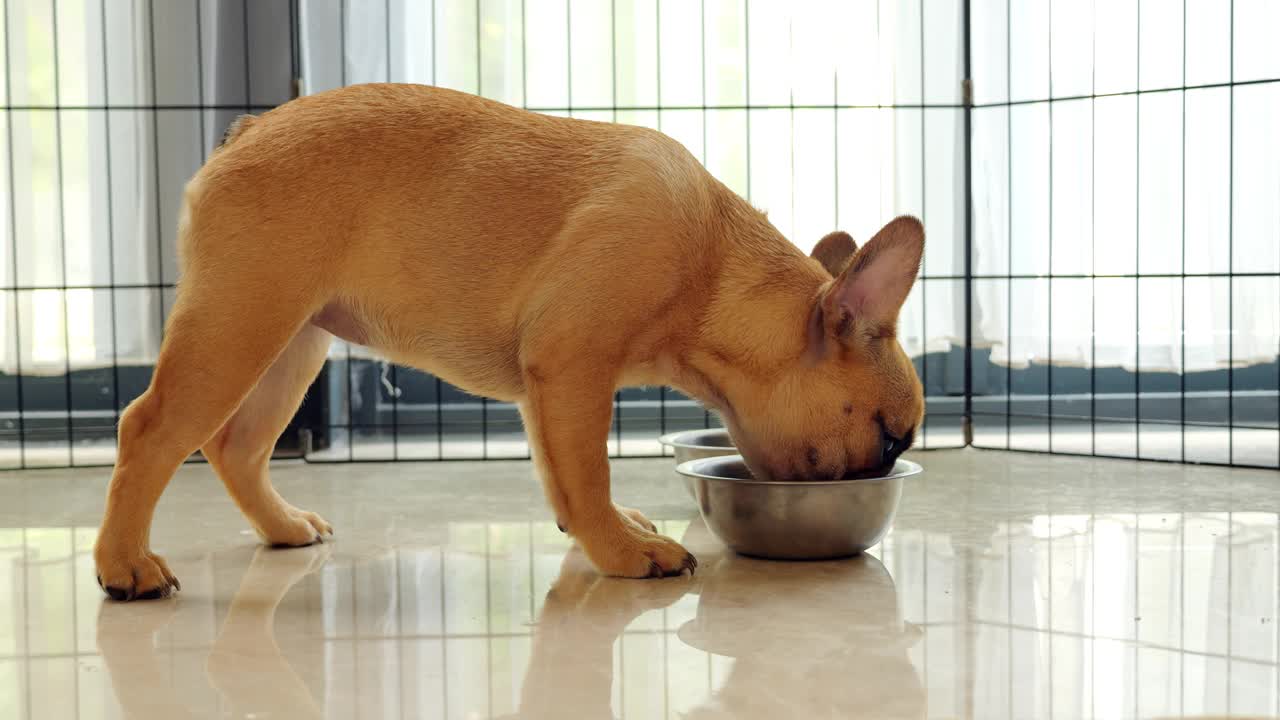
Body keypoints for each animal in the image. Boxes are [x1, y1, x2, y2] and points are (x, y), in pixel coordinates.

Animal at [94, 82, 926, 599]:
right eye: (890, 438)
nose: (885, 468)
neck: (712, 271)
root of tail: (251, 129)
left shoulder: (544, 385)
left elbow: (559, 474)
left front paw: (600, 534)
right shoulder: (574, 365)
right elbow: (587, 472)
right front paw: (624, 553)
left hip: (293, 341)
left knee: (236, 445)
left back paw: (281, 527)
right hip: (239, 322)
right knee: (151, 430)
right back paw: (125, 564)